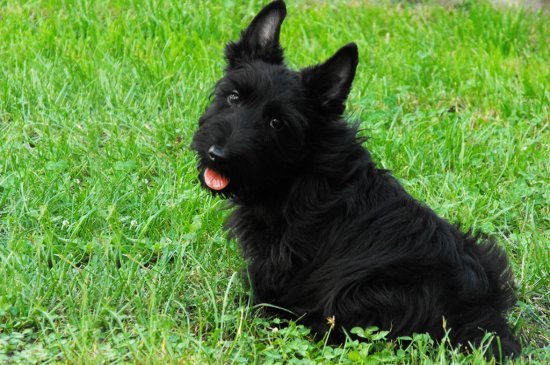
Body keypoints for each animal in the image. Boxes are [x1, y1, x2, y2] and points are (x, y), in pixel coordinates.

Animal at [192, 0, 524, 358]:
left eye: (277, 123)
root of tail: (480, 319)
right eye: (234, 97)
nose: (217, 155)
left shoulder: (283, 257)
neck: (300, 168)